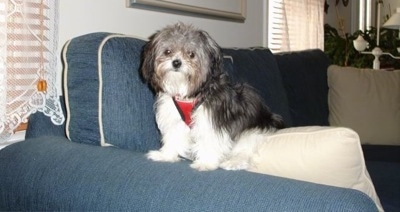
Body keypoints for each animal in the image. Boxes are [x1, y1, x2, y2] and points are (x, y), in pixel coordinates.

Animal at [141, 22, 284, 171]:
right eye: (168, 51)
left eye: (191, 54)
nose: (176, 62)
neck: (189, 93)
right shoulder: (175, 119)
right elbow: (173, 137)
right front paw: (166, 155)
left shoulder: (211, 120)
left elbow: (209, 141)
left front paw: (205, 162)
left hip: (253, 132)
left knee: (245, 151)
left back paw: (233, 162)